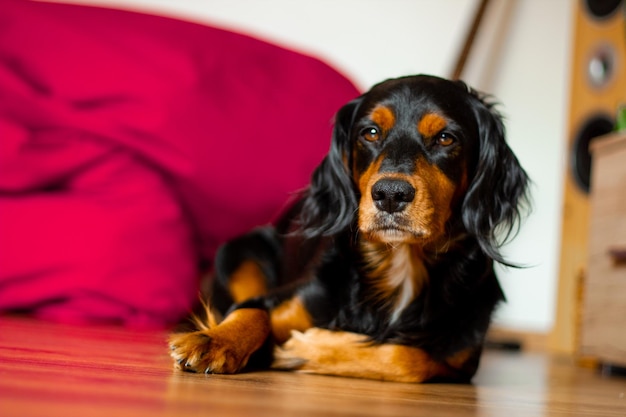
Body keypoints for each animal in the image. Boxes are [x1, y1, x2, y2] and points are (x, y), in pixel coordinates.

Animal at [169, 75, 528, 384]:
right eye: (370, 132)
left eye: (445, 138)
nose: (391, 194)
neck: (401, 265)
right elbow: (250, 311)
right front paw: (214, 340)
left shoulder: (461, 359)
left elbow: (410, 358)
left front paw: (309, 348)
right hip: (239, 252)